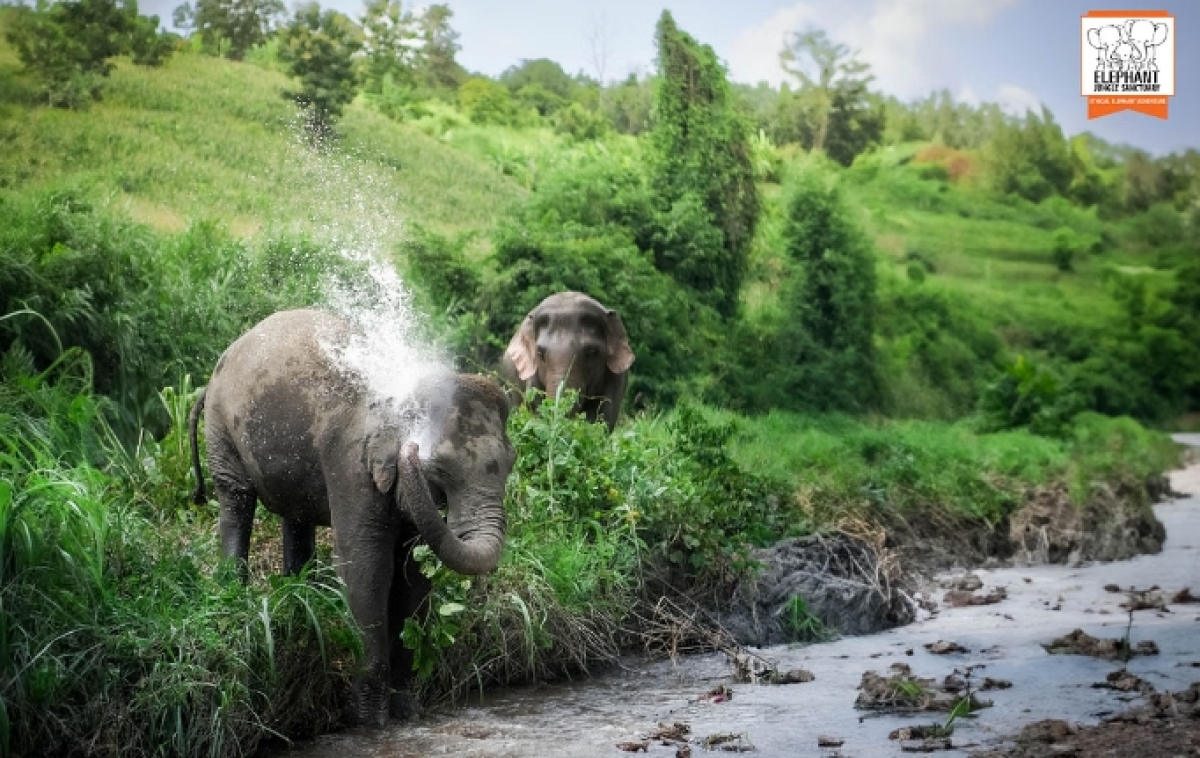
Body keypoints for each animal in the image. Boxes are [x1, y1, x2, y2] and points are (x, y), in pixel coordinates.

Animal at [188, 308, 515, 727]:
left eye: (511, 462)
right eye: (439, 468)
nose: (412, 451)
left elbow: (413, 572)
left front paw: (406, 711)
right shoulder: (350, 463)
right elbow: (366, 564)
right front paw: (369, 721)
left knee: (295, 517)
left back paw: (299, 598)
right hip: (221, 428)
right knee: (236, 500)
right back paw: (236, 593)